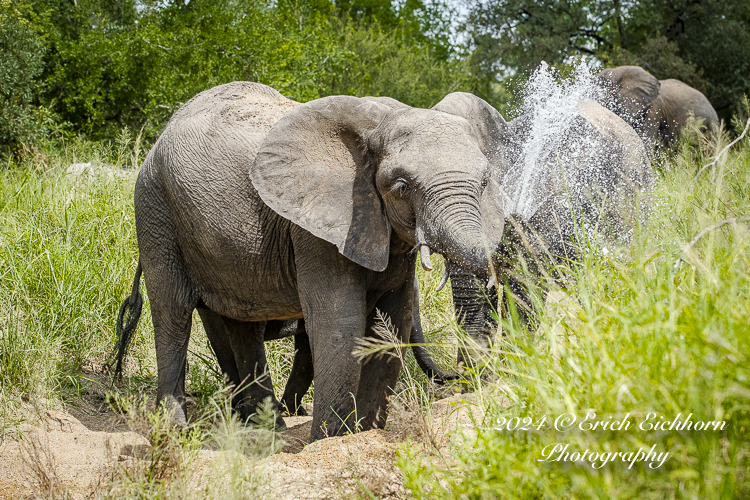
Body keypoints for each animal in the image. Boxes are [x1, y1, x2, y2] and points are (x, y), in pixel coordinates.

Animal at [126, 80, 508, 440]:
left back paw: (269, 429)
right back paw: (176, 433)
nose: (457, 377)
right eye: (401, 186)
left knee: (241, 322)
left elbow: (389, 326)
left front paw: (363, 434)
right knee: (173, 313)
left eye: (484, 182)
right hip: (154, 207)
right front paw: (329, 439)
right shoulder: (316, 227)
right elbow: (339, 323)